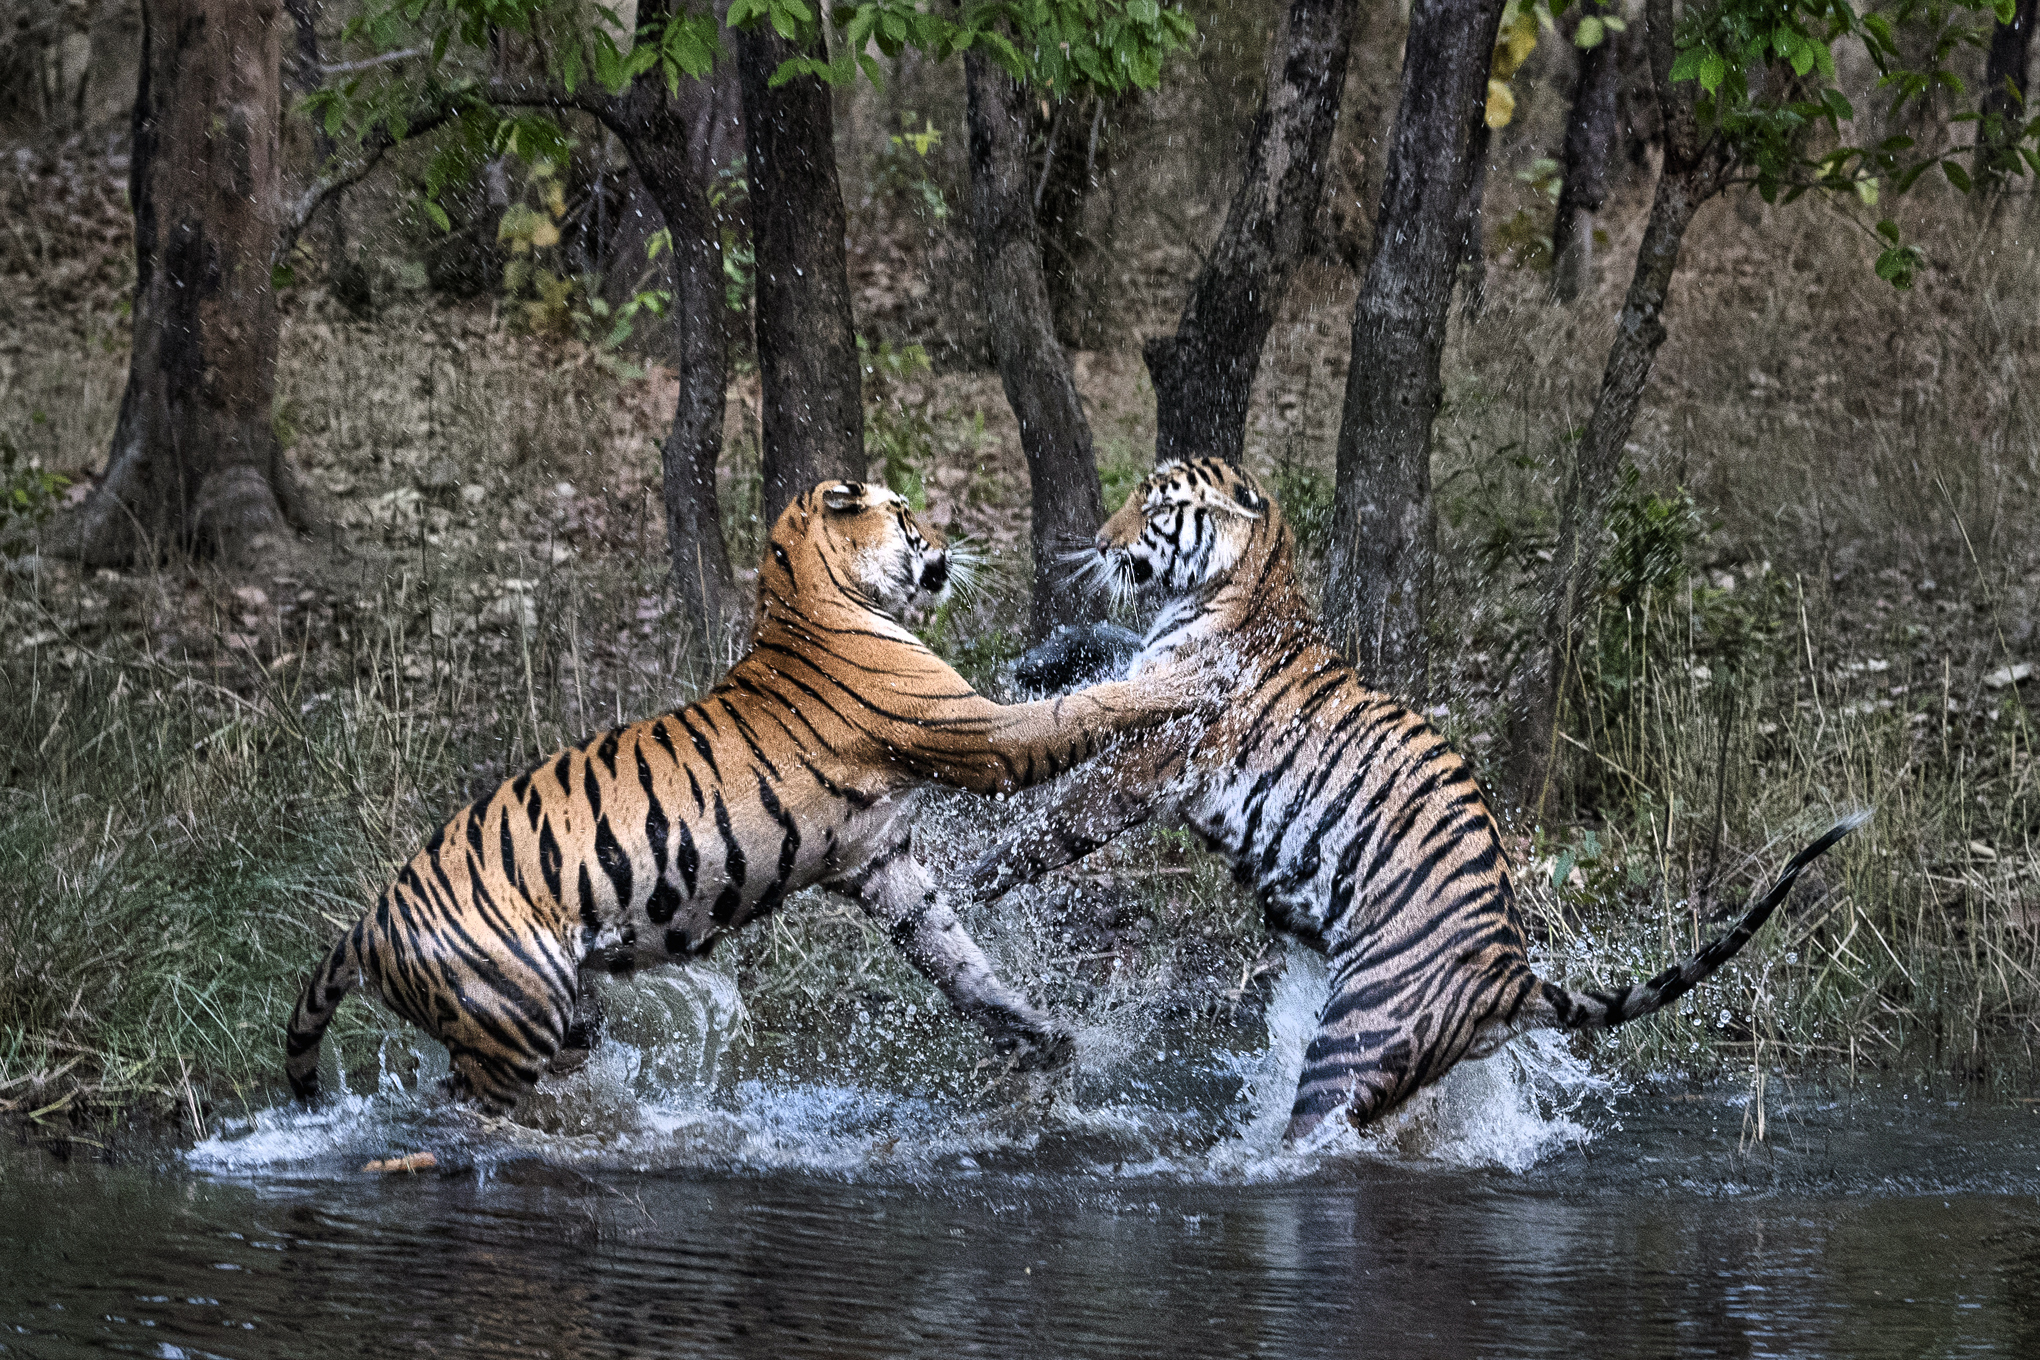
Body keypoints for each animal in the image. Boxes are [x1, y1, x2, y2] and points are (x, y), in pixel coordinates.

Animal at [285, 479, 1196, 1112]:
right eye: (907, 513)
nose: (948, 538)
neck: (803, 598)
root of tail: (369, 922)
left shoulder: (879, 861)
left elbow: (956, 959)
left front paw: (1042, 1038)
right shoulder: (978, 736)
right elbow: (1076, 712)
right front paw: (1180, 683)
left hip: (558, 1017)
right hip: (511, 1021)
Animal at [964, 457, 1866, 1142]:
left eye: (1153, 507)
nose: (1097, 543)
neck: (1243, 584)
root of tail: (1511, 972)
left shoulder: (1157, 758)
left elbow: (1055, 817)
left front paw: (967, 879)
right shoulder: (1149, 674)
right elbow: (1108, 654)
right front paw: (1043, 659)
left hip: (1357, 1038)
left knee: (1321, 1132)